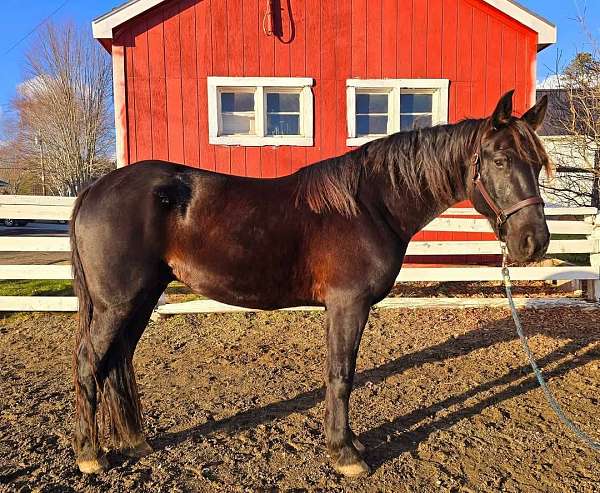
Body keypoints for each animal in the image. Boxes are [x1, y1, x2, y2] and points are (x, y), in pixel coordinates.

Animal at [69, 89, 548, 476]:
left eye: (539, 164)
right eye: (501, 160)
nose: (534, 241)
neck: (369, 204)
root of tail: (94, 189)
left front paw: (351, 443)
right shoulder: (347, 305)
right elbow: (341, 375)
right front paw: (345, 454)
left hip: (141, 298)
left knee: (117, 361)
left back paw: (135, 443)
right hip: (118, 304)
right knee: (90, 363)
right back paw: (91, 454)